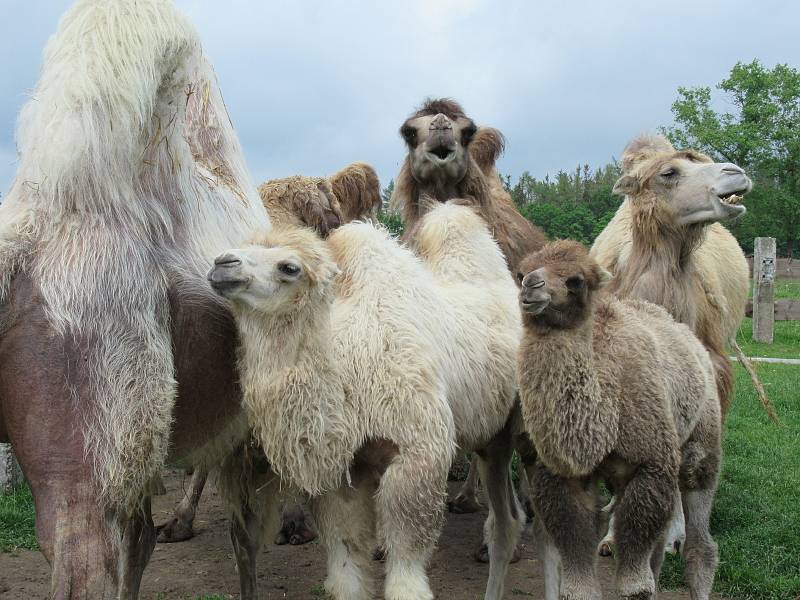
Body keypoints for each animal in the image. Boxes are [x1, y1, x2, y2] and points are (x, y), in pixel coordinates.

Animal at [205, 203, 524, 600]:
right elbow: (347, 569)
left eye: (289, 267)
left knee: (513, 522)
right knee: (508, 521)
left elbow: (405, 575)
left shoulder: (418, 454)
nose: (222, 263)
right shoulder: (344, 471)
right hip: (488, 438)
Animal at [516, 239, 720, 600]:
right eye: (520, 272)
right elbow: (579, 583)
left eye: (576, 281)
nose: (531, 286)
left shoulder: (650, 463)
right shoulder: (563, 477)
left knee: (700, 542)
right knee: (659, 546)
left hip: (702, 440)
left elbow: (635, 586)